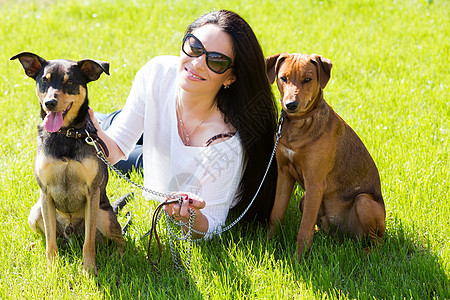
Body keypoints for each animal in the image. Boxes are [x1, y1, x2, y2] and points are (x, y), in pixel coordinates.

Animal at [266, 52, 384, 258]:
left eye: (307, 79)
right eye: (283, 78)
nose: (291, 105)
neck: (299, 124)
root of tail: (346, 235)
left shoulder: (315, 183)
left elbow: (304, 229)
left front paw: (298, 260)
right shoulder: (284, 174)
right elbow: (276, 214)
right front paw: (267, 246)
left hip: (364, 202)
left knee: (377, 242)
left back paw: (363, 253)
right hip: (306, 201)